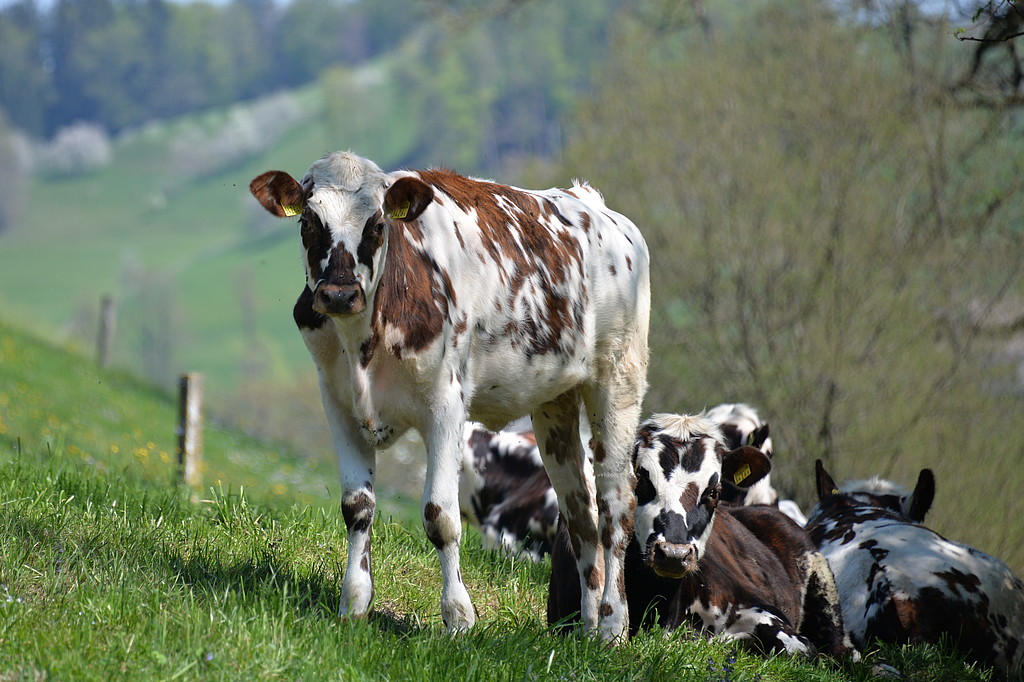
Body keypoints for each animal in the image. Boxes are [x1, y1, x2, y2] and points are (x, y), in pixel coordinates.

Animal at [248, 150, 647, 638]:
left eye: (377, 224)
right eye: (307, 221)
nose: (339, 294)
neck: (364, 344)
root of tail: (589, 200)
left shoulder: (446, 406)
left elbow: (440, 516)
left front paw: (458, 617)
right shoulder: (339, 403)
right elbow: (356, 506)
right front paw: (354, 604)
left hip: (618, 382)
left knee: (615, 507)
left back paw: (612, 624)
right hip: (555, 403)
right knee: (580, 513)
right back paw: (586, 627)